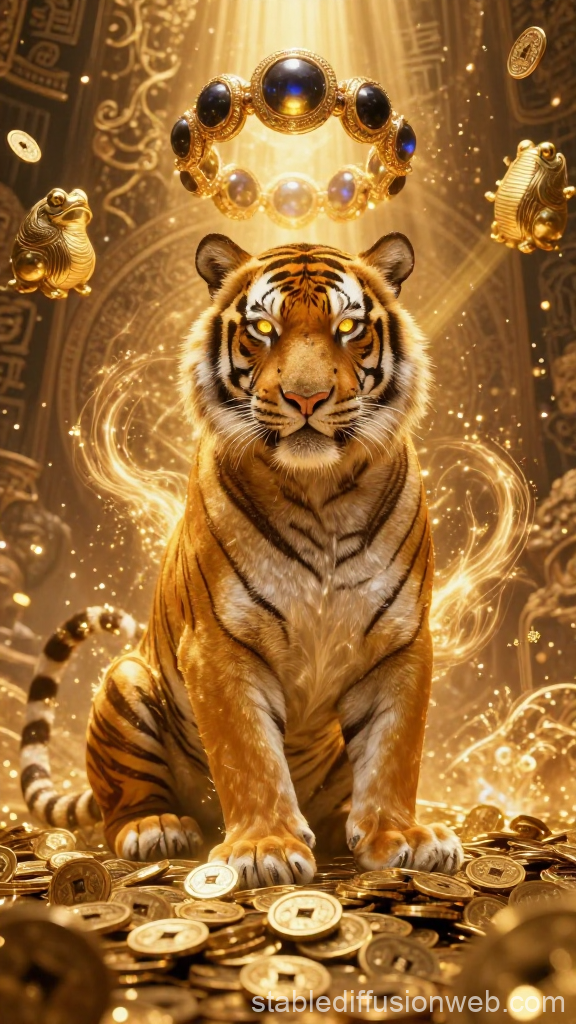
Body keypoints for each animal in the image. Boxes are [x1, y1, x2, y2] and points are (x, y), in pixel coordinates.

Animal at [20, 231, 464, 883]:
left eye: (347, 327)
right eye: (262, 328)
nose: (306, 397)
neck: (321, 492)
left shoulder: (401, 641)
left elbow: (395, 750)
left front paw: (400, 836)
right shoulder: (218, 644)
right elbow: (248, 753)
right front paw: (265, 848)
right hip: (126, 681)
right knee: (121, 803)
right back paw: (157, 828)